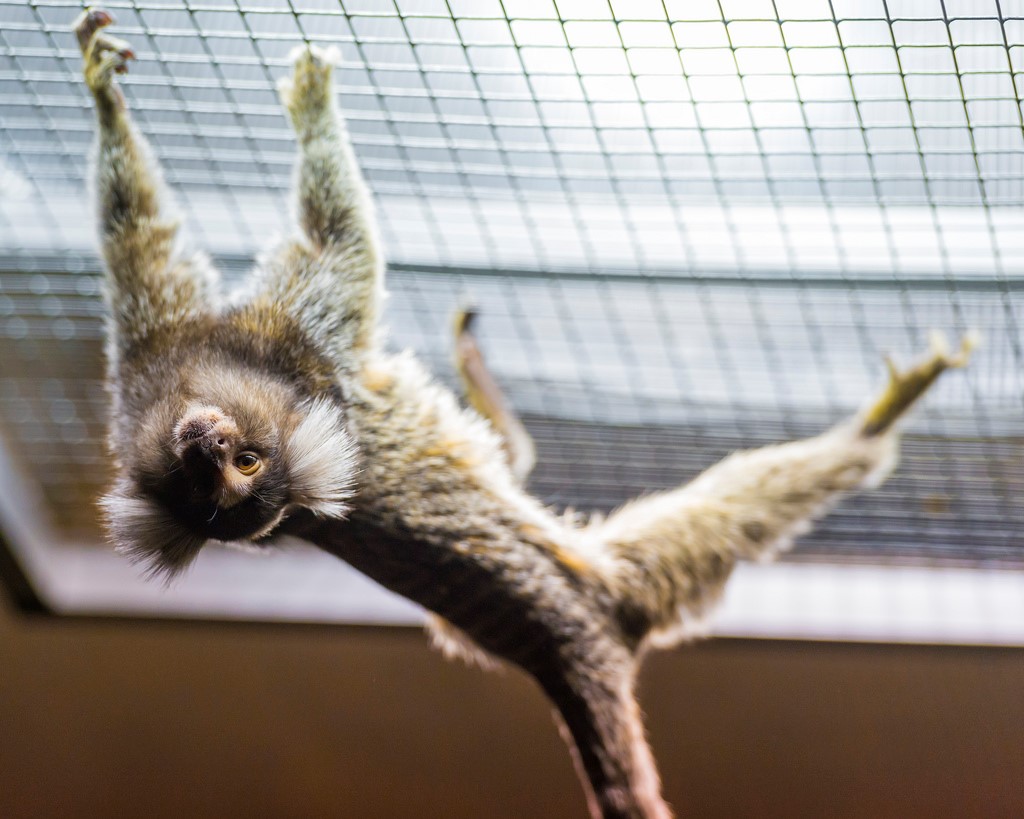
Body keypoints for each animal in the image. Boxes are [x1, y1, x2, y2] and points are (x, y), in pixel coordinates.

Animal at [74, 10, 974, 818]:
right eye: (209, 491)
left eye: (244, 465)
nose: (206, 446)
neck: (184, 388)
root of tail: (561, 655)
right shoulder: (288, 334)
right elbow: (329, 239)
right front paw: (295, 104)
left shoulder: (163, 363)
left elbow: (138, 232)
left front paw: (105, 96)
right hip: (613, 583)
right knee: (738, 506)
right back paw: (873, 427)